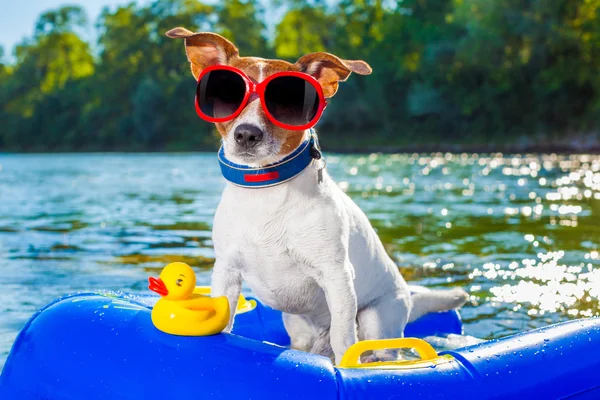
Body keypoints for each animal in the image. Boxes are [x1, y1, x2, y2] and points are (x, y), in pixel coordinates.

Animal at [169, 28, 468, 364]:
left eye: (287, 102)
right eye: (228, 93)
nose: (246, 134)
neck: (265, 191)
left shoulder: (336, 276)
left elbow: (345, 339)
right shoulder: (227, 271)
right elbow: (225, 318)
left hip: (377, 319)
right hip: (298, 327)